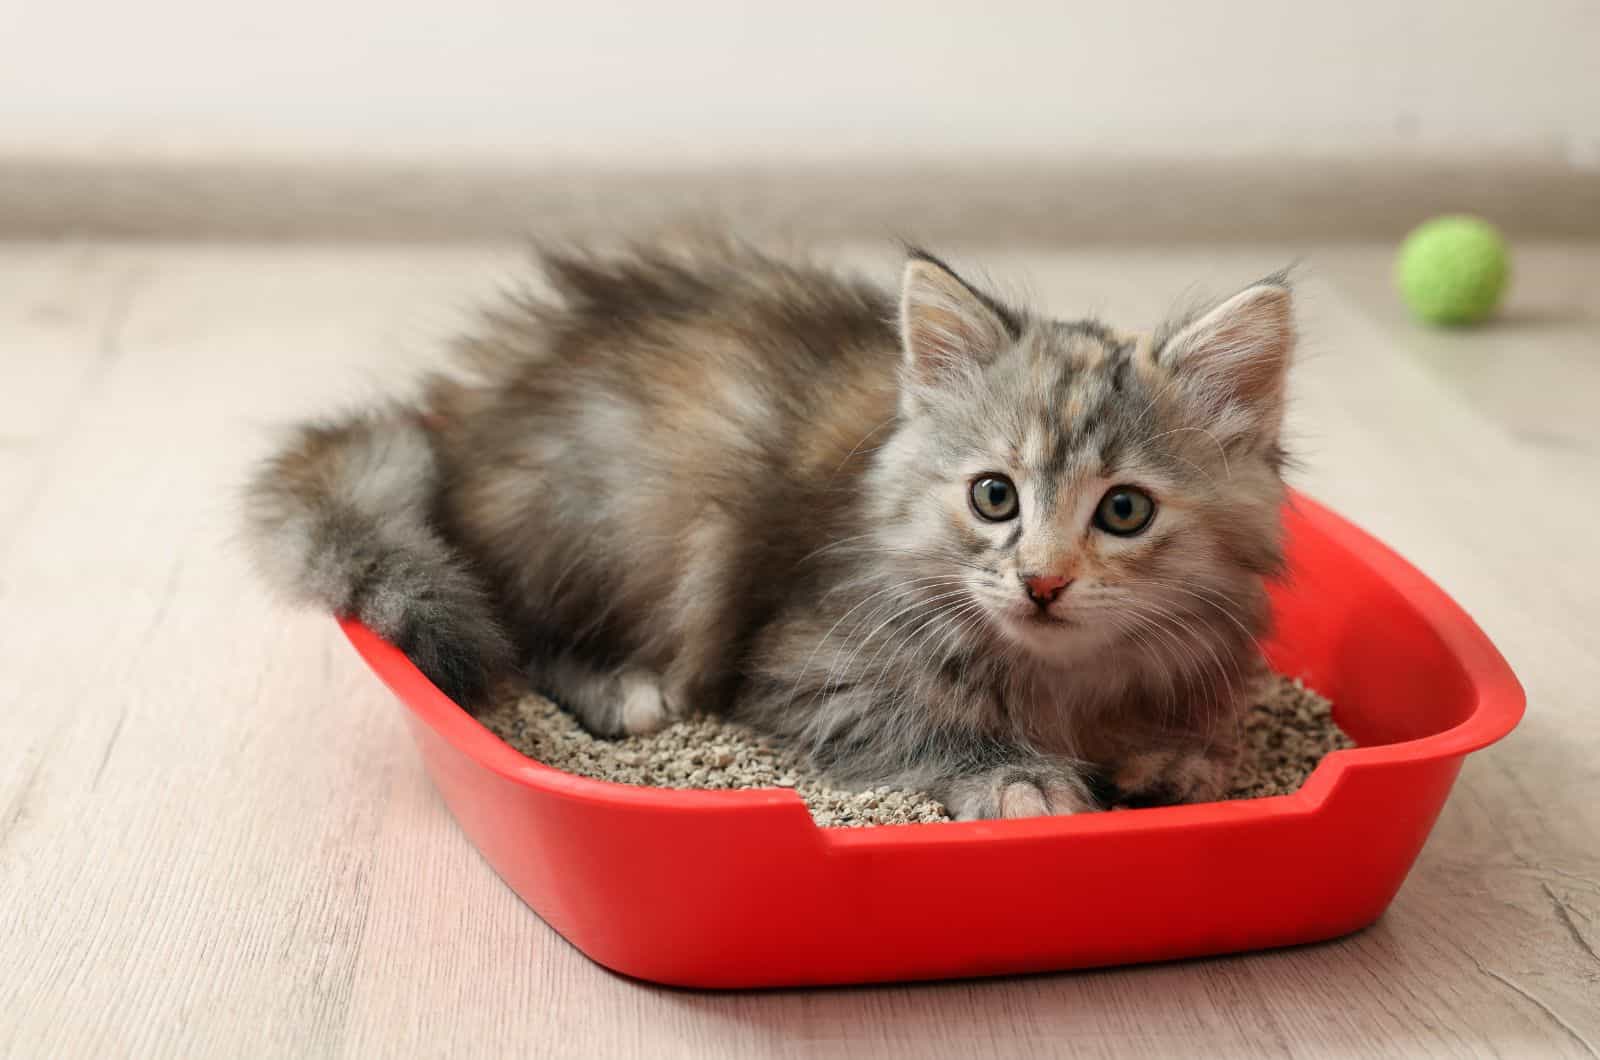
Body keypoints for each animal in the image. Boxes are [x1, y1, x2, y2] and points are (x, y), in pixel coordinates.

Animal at [243, 238, 1286, 819]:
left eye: (1123, 510)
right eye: (995, 497)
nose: (1042, 580)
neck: (1058, 676)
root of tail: (458, 424)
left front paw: (1176, 755)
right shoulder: (805, 664)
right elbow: (922, 722)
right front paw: (1018, 778)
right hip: (625, 513)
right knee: (521, 631)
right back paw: (624, 688)